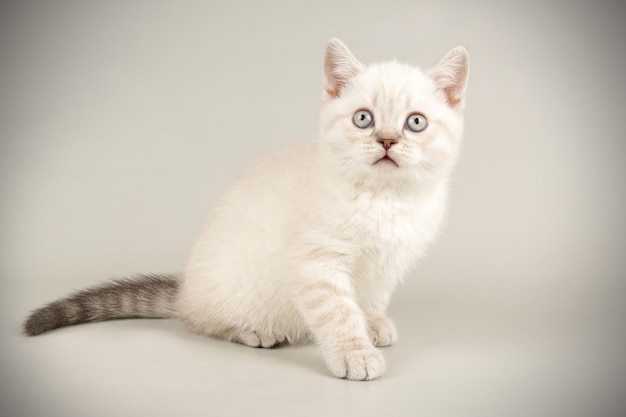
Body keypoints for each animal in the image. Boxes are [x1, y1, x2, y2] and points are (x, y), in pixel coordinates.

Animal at [23, 39, 468, 380]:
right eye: (363, 119)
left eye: (415, 123)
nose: (388, 141)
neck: (386, 198)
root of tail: (185, 291)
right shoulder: (318, 263)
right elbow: (339, 312)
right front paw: (354, 354)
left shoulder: (389, 263)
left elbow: (373, 298)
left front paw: (374, 325)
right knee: (202, 323)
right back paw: (253, 332)